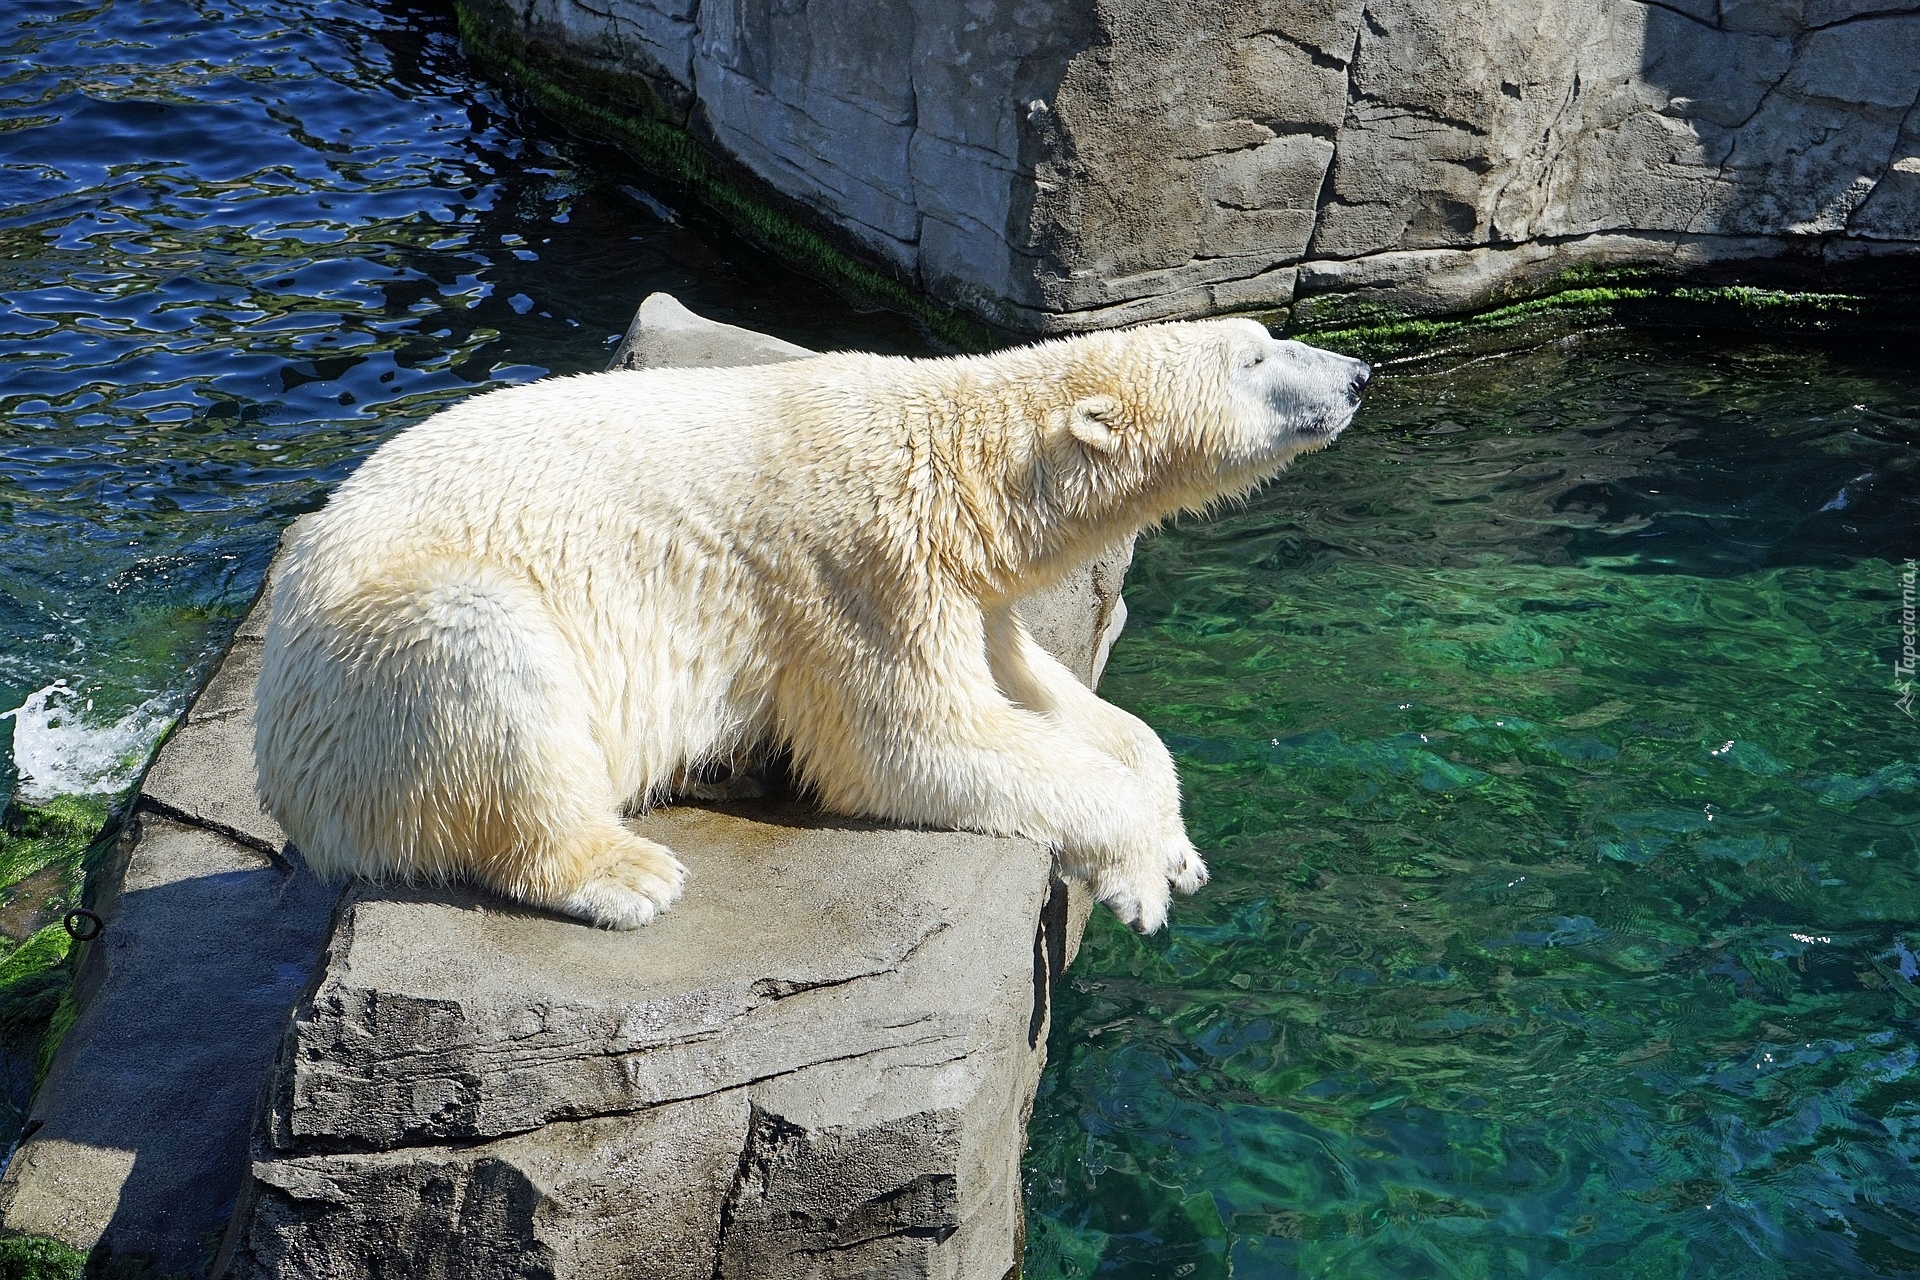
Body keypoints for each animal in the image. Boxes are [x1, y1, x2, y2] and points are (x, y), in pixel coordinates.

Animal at [251, 320, 1367, 936]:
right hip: (375, 659)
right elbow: (910, 742)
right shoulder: (860, 568)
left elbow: (1056, 701)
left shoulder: (960, 587)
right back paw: (625, 871)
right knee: (490, 658)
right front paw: (1138, 875)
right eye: (1256, 354)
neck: (958, 461)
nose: (1357, 375)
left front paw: (1176, 846)